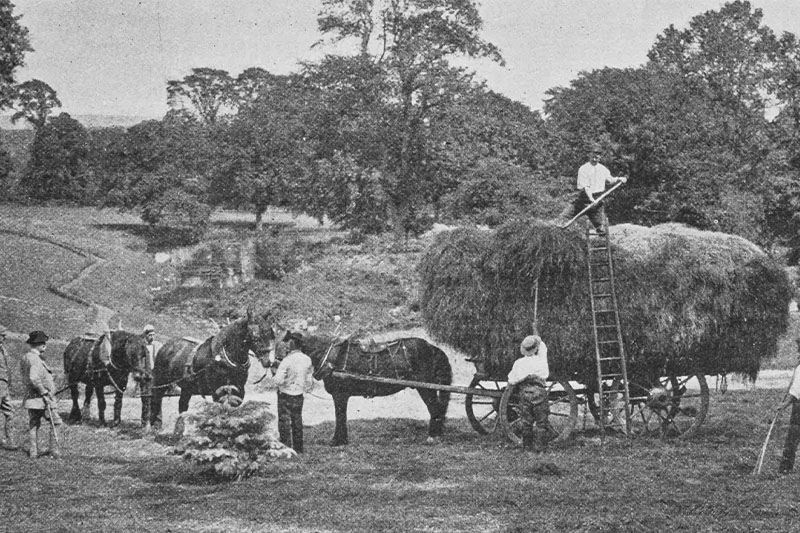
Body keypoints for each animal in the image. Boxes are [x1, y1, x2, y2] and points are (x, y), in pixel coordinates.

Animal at [148, 308, 276, 428]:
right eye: (256, 335)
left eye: (270, 334)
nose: (269, 361)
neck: (225, 357)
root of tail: (165, 346)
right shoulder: (217, 391)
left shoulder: (239, 390)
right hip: (160, 382)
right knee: (156, 401)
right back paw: (155, 427)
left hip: (187, 388)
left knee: (182, 407)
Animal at [296, 332, 456, 444]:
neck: (332, 357)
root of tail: (432, 348)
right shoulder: (342, 395)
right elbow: (342, 416)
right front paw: (342, 439)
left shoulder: (340, 394)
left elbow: (339, 416)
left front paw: (337, 440)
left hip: (426, 388)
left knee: (435, 409)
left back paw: (433, 436)